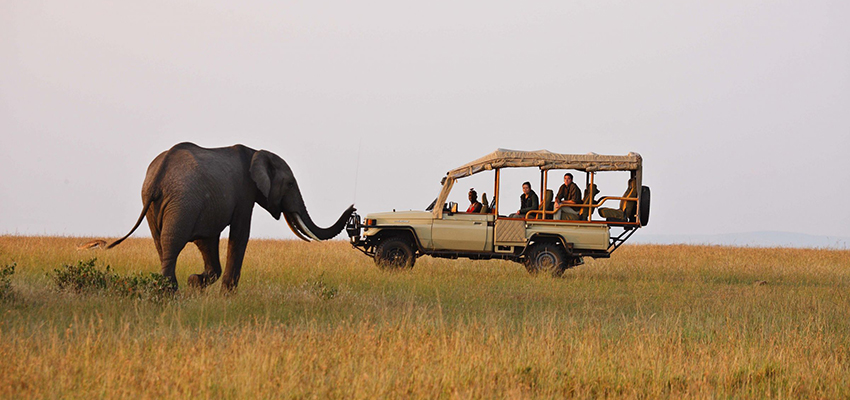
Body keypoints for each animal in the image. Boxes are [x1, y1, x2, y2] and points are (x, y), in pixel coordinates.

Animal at [108, 142, 355, 292]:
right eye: (290, 184)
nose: (353, 208)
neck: (256, 152)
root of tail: (158, 176)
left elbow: (207, 241)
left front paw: (195, 282)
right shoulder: (245, 193)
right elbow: (239, 235)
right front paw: (225, 294)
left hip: (158, 204)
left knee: (160, 243)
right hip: (182, 202)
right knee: (172, 244)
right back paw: (170, 294)